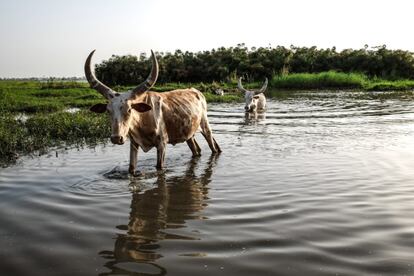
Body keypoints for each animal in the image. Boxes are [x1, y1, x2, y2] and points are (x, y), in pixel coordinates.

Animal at [83, 50, 220, 172]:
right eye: (108, 111)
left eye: (129, 110)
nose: (117, 138)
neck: (143, 120)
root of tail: (196, 91)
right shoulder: (134, 144)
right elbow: (131, 169)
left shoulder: (162, 144)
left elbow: (159, 167)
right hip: (189, 134)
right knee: (196, 150)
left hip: (205, 126)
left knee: (213, 147)